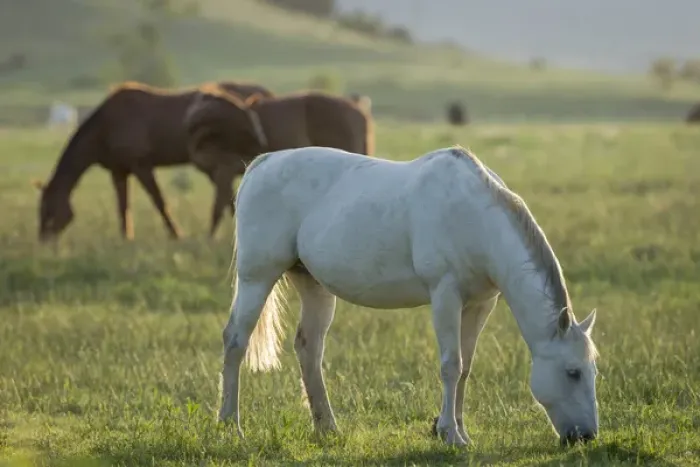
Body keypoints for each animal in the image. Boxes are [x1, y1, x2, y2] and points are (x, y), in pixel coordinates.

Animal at [34, 80, 274, 242]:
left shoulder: (141, 166)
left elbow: (159, 202)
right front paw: (126, 239)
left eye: (49, 210)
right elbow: (123, 207)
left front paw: (177, 235)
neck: (107, 126)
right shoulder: (119, 171)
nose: (45, 243)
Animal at [217, 145, 600, 446]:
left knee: (309, 349)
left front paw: (458, 430)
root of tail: (262, 163)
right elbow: (451, 364)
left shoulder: (479, 304)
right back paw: (230, 425)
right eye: (573, 372)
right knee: (235, 341)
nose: (586, 436)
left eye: (592, 370)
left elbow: (466, 367)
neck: (475, 216)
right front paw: (449, 434)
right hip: (256, 278)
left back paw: (327, 428)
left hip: (313, 285)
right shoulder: (445, 295)